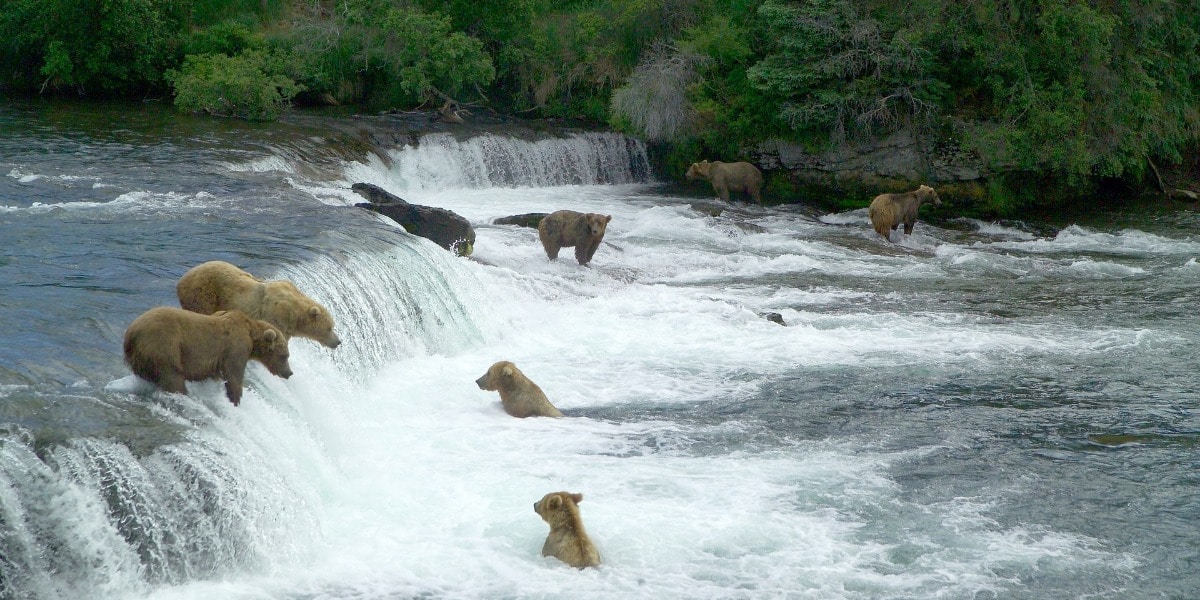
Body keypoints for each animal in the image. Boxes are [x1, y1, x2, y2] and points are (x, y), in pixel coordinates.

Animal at [176, 260, 343, 350]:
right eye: (329, 328)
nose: (338, 341)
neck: (295, 316)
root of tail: (183, 278)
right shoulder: (277, 315)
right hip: (203, 293)